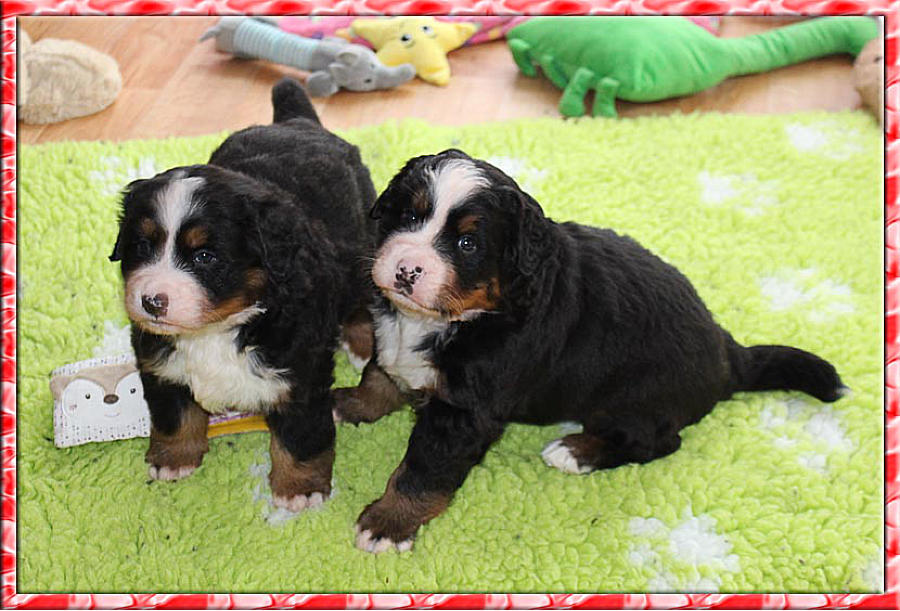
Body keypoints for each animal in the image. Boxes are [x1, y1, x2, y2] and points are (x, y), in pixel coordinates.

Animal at [110, 78, 376, 512]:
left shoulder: (299, 375)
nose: (151, 301)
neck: (216, 330)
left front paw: (299, 488)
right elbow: (174, 414)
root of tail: (295, 122)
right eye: (141, 246)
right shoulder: (157, 359)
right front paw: (173, 458)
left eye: (205, 256)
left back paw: (361, 343)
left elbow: (300, 436)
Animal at [333, 148, 846, 553]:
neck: (454, 319)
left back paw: (574, 450)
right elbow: (379, 374)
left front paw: (388, 523)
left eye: (467, 243)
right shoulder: (392, 344)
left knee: (656, 442)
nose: (406, 270)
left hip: (634, 403)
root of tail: (726, 349)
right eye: (409, 216)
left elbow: (421, 472)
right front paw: (350, 403)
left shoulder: (464, 413)